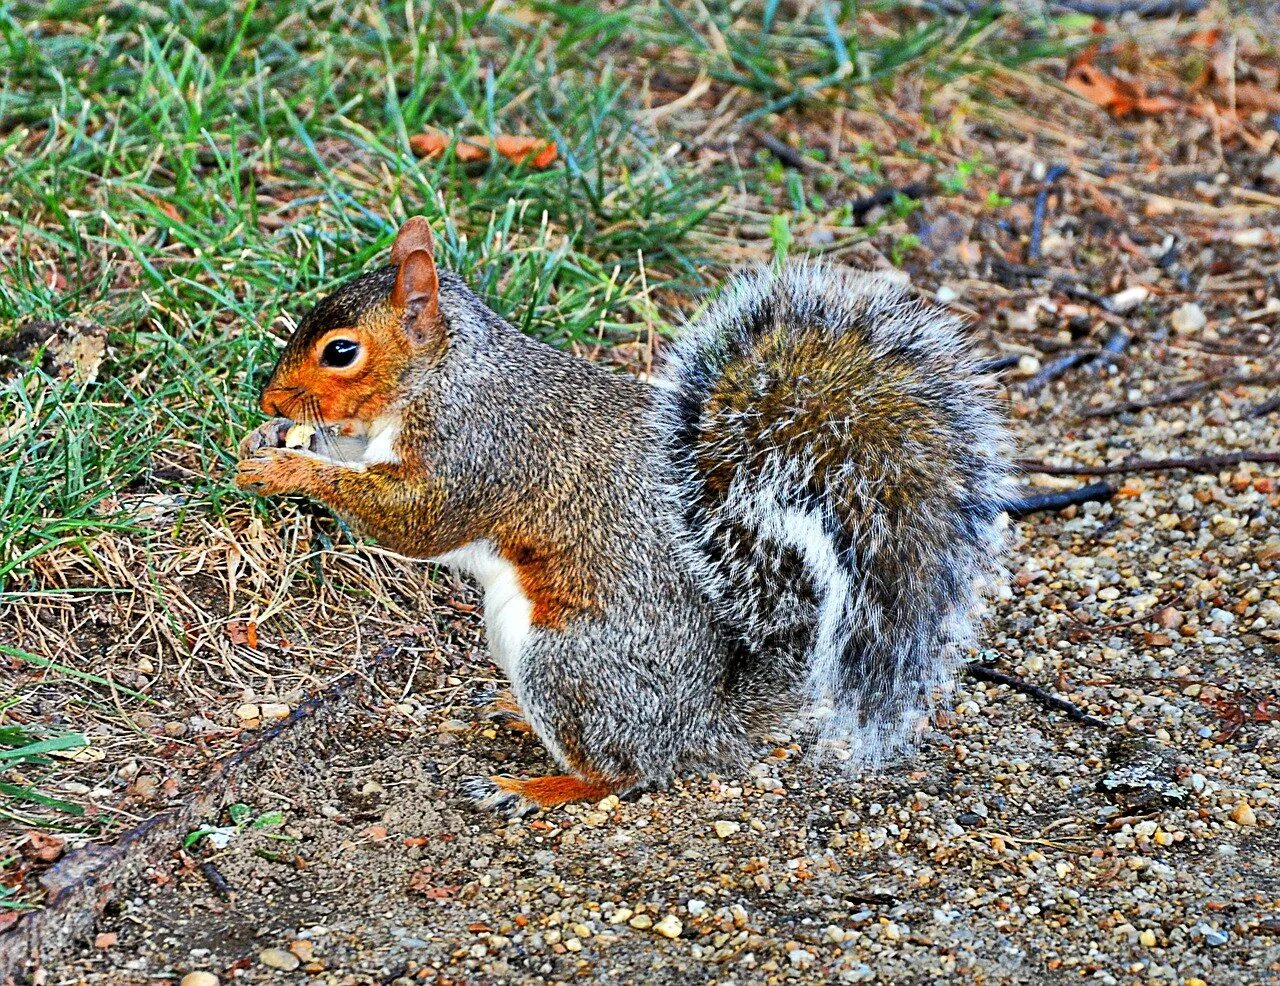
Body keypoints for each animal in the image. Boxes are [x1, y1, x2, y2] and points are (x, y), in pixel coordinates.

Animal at [240, 217, 1013, 814]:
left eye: (342, 351)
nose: (269, 401)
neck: (445, 373)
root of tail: (702, 724)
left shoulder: (477, 448)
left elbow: (415, 521)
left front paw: (288, 469)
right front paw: (272, 442)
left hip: (568, 665)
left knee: (624, 773)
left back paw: (535, 787)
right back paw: (512, 714)